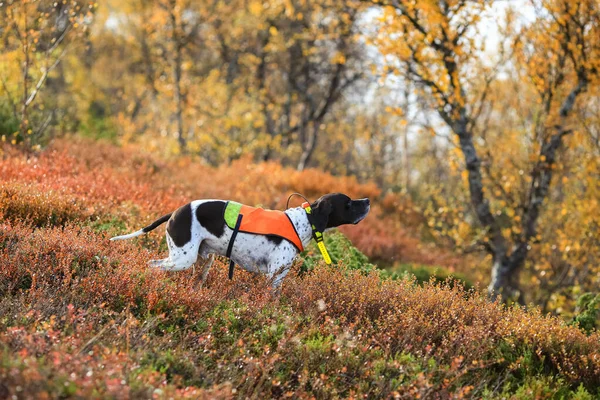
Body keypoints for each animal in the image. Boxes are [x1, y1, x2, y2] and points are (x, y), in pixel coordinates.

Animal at [109, 194, 368, 288]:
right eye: (348, 203)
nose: (367, 201)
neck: (303, 221)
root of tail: (174, 212)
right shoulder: (274, 276)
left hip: (203, 262)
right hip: (182, 258)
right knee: (153, 266)